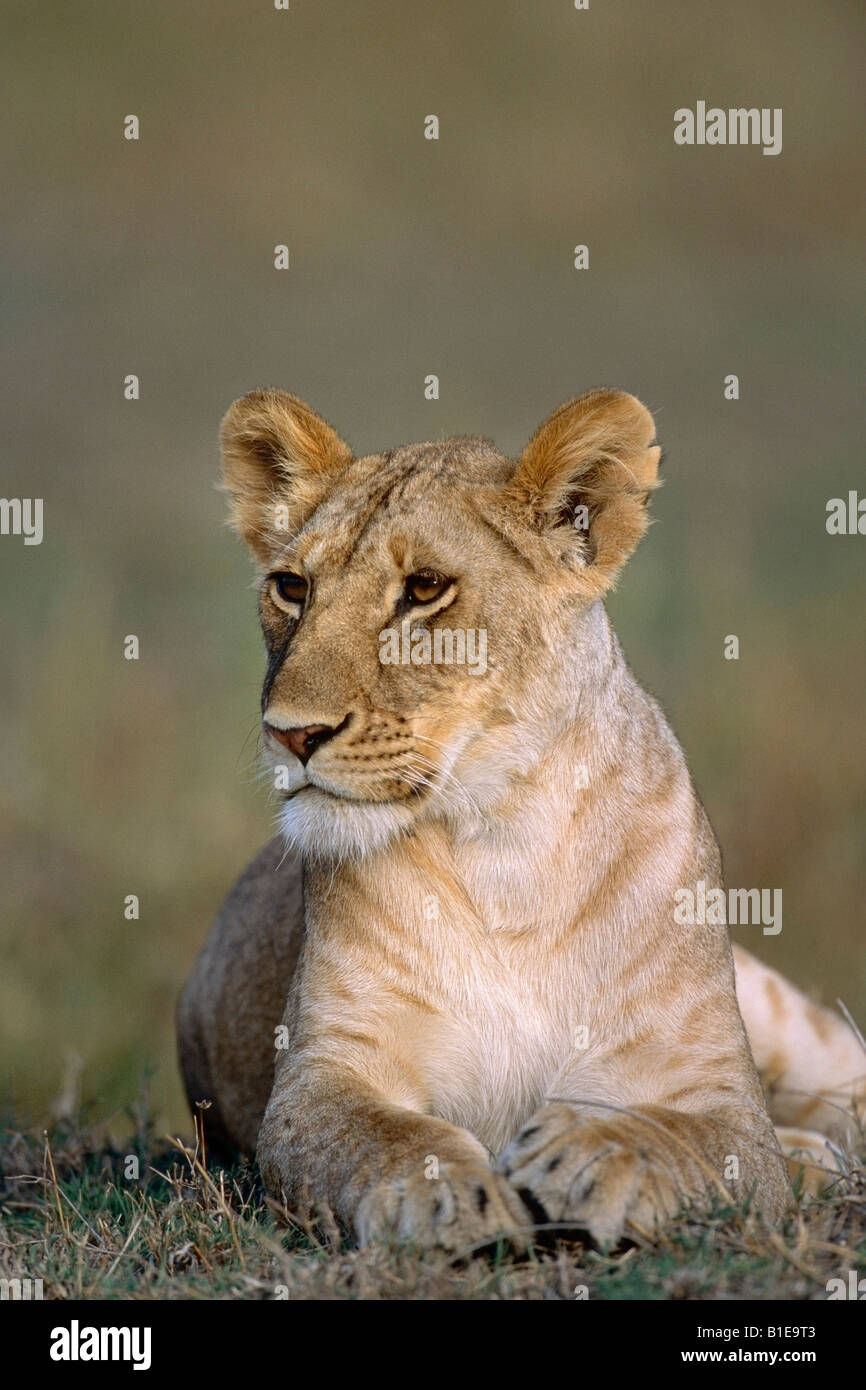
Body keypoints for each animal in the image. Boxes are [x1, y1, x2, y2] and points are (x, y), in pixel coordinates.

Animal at [177, 389, 866, 1251]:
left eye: (424, 588)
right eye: (291, 587)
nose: (291, 733)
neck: (505, 843)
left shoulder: (719, 1093)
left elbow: (686, 1137)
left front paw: (591, 1153)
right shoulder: (323, 1074)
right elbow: (379, 1136)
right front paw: (447, 1193)